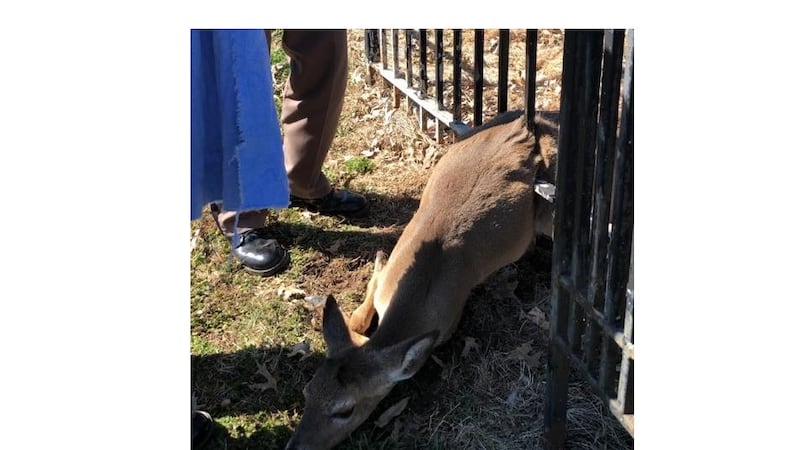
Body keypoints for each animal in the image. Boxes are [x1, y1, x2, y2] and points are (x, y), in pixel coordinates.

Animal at [285, 110, 559, 450]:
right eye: (307, 391)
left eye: (345, 410)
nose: (295, 446)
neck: (419, 292)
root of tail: (528, 123)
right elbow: (363, 310)